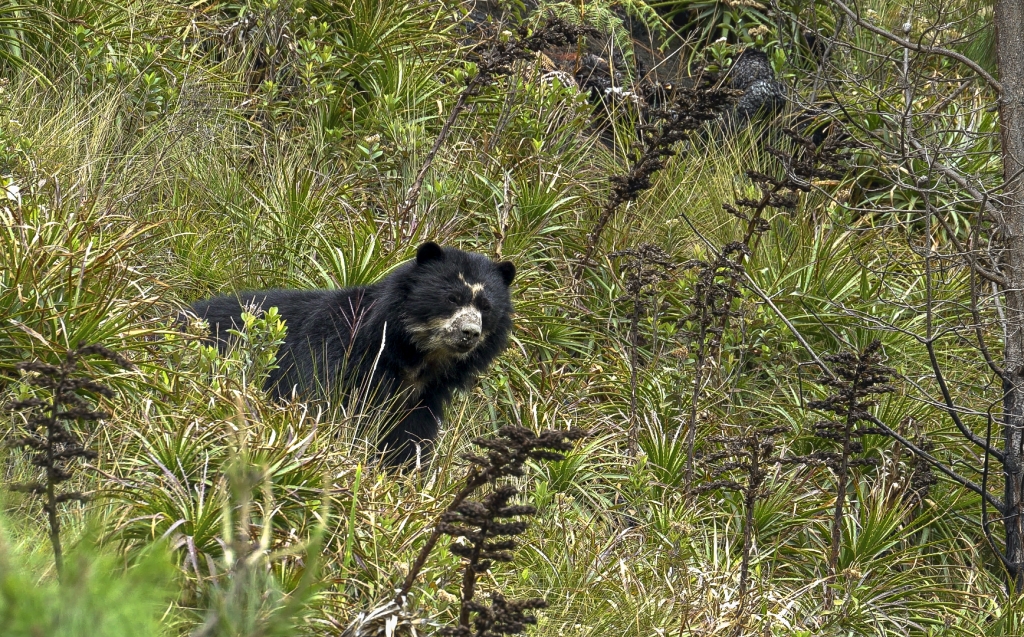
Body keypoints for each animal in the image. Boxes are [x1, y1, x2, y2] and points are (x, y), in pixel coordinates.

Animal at [188, 242, 516, 467]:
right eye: (452, 298)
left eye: (486, 307)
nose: (470, 333)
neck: (413, 357)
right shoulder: (337, 357)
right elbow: (322, 404)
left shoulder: (422, 396)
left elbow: (409, 435)